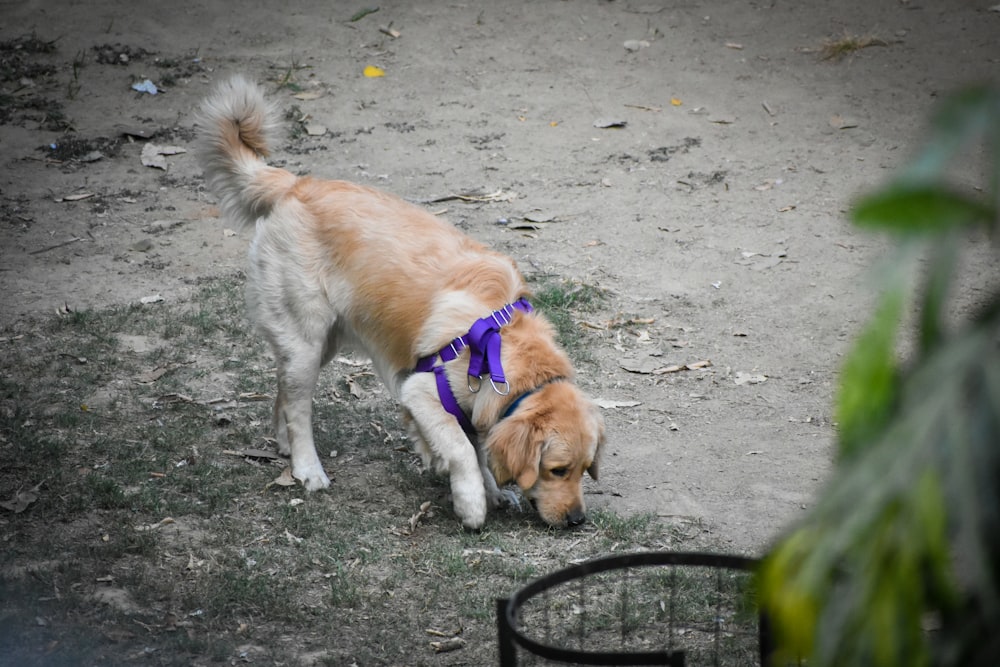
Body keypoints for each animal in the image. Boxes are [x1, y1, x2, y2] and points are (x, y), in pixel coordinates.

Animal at [194, 77, 600, 528]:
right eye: (557, 470)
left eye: (585, 470)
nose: (578, 519)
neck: (502, 346)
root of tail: (294, 183)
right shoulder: (421, 390)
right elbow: (463, 449)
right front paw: (472, 503)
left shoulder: (475, 408)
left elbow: (478, 447)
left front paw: (491, 491)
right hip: (307, 340)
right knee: (299, 407)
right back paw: (308, 468)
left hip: (320, 344)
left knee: (282, 386)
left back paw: (283, 445)